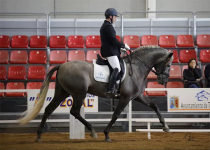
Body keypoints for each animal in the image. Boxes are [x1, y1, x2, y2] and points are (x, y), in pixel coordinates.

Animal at [18, 45, 173, 142]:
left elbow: (154, 105)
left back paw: (39, 136)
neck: (136, 67)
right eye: (169, 64)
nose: (164, 80)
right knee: (74, 111)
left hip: (62, 92)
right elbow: (116, 114)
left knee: (49, 109)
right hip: (79, 93)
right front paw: (106, 134)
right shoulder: (126, 97)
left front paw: (165, 127)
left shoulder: (137, 96)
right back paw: (92, 131)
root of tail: (61, 65)